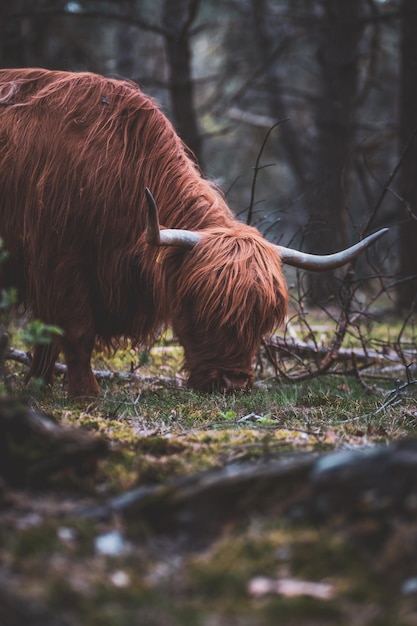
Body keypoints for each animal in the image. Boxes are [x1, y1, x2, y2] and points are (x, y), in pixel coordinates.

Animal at [0, 68, 386, 398]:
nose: (233, 383)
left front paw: (37, 386)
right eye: (204, 310)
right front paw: (85, 394)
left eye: (262, 322)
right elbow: (76, 330)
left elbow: (49, 336)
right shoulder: (58, 259)